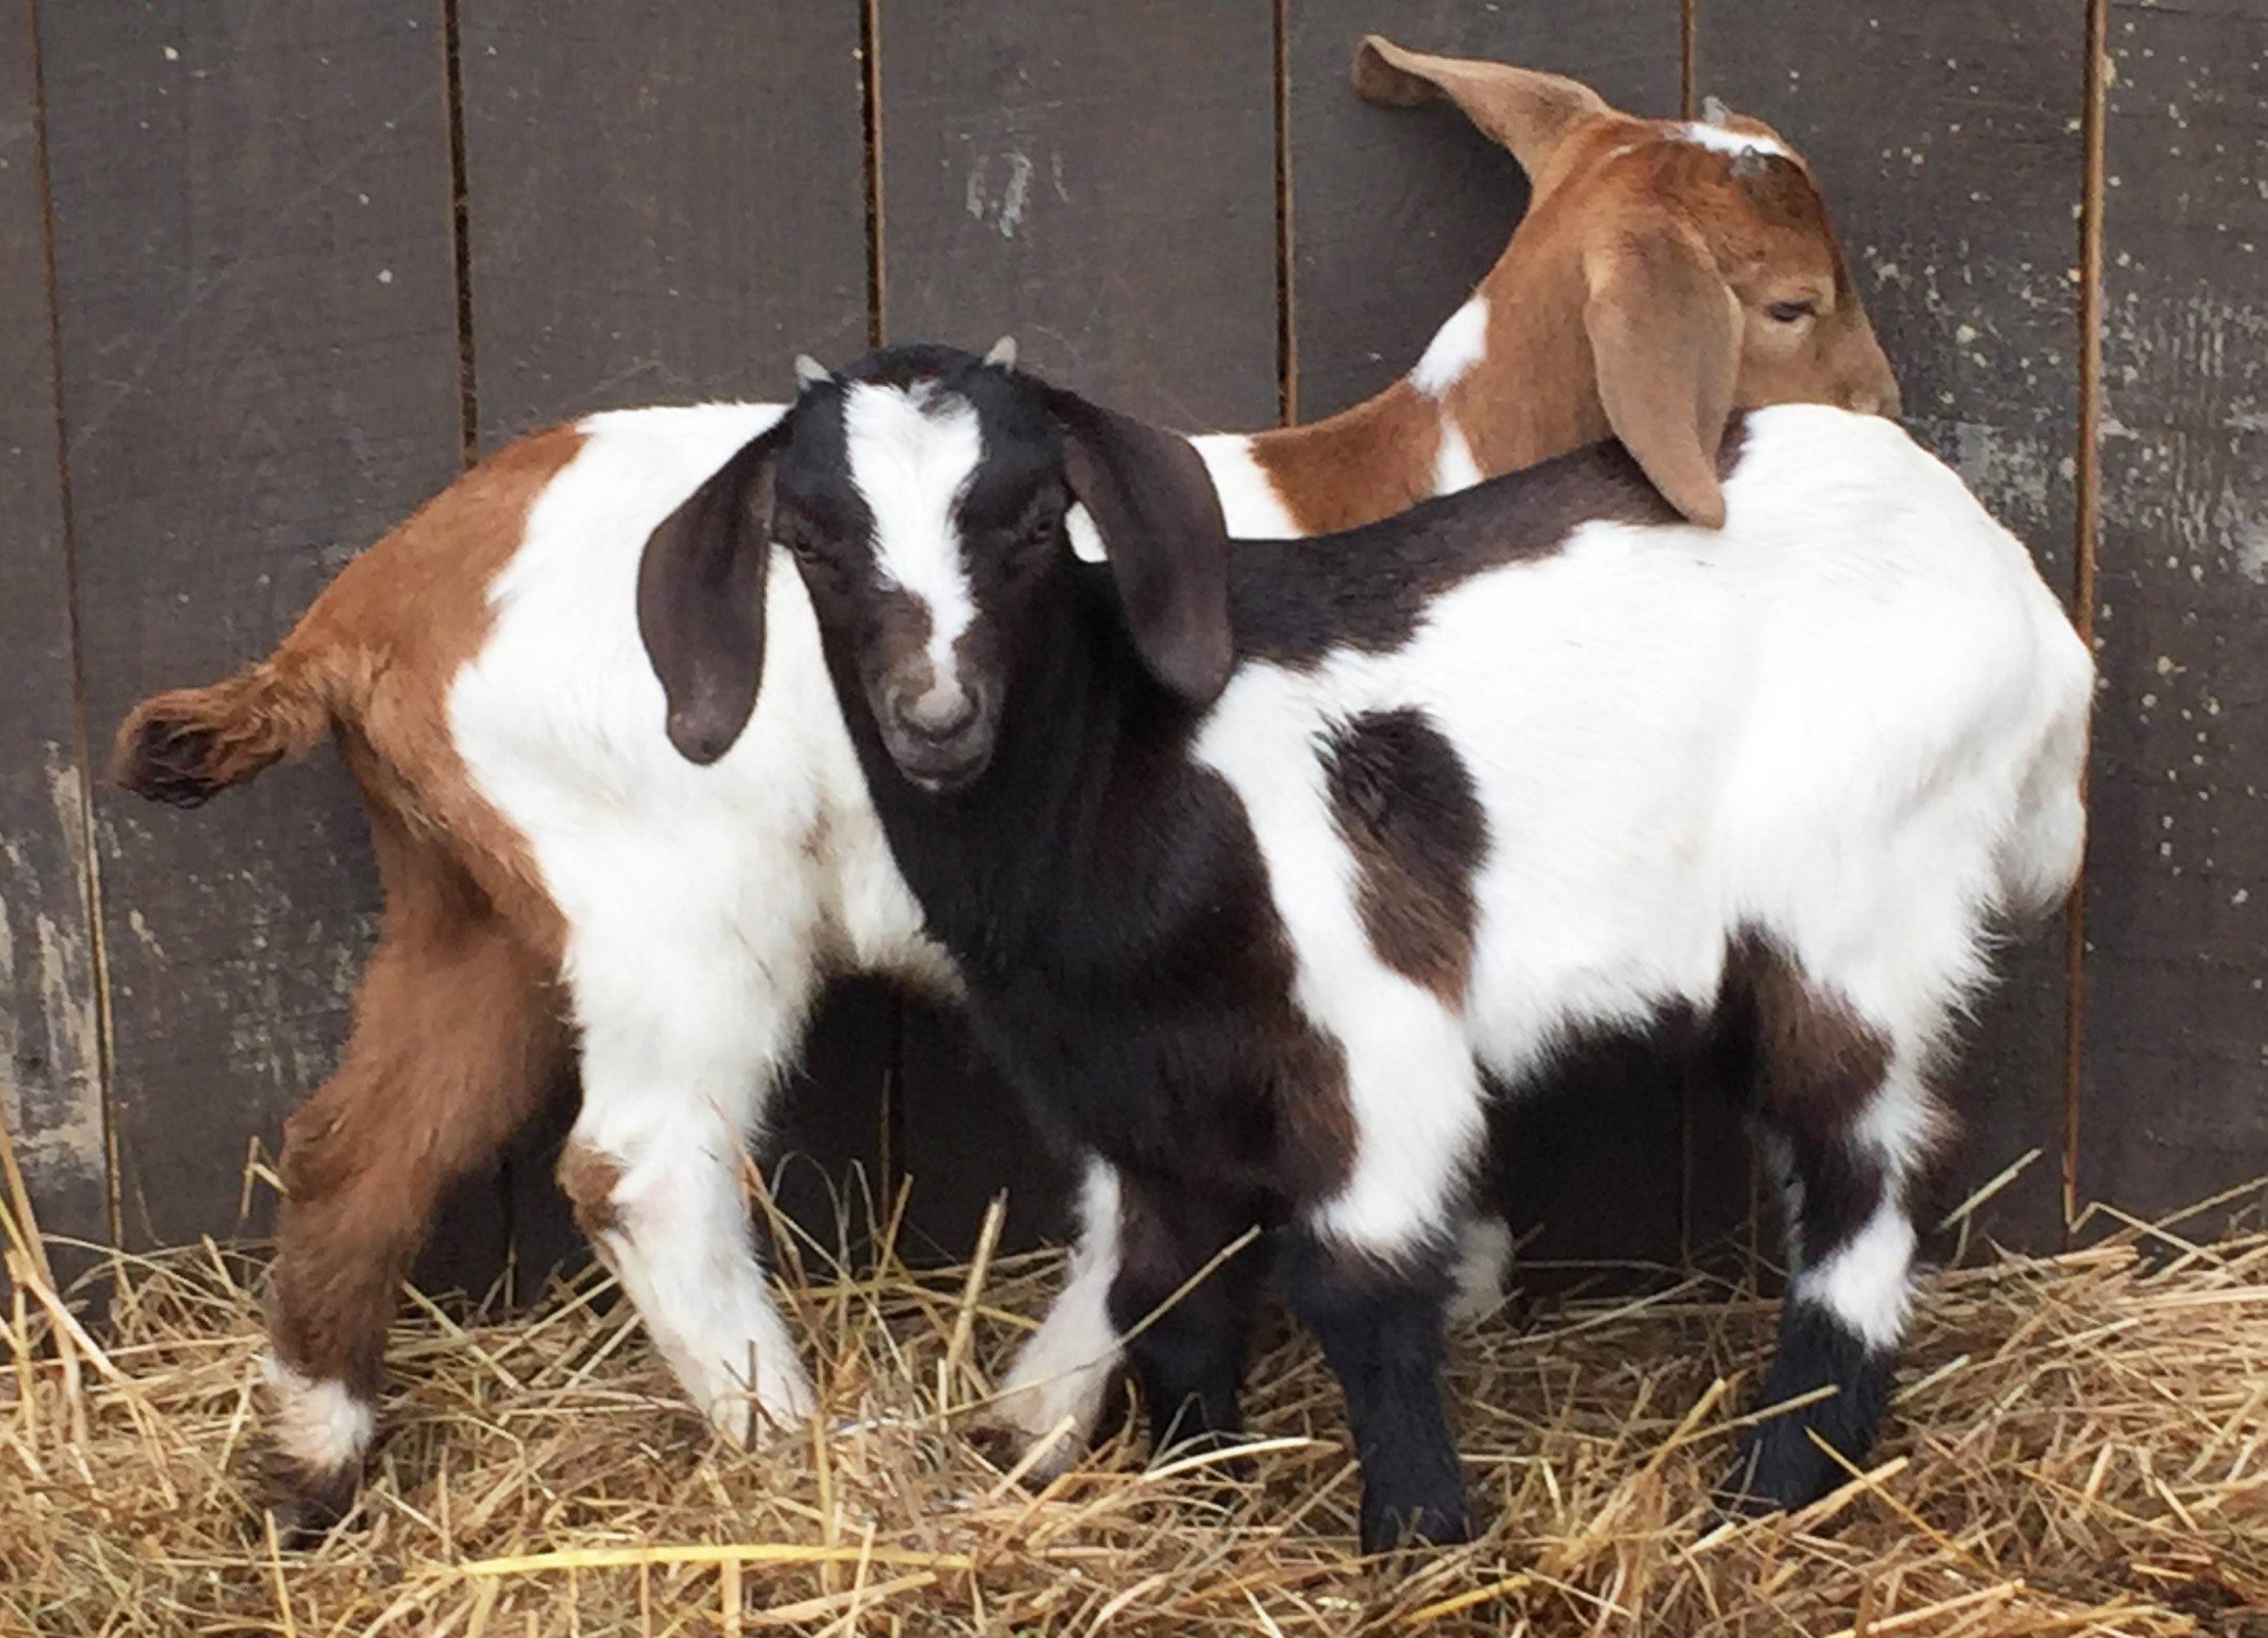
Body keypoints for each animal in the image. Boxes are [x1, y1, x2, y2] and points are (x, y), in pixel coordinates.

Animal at [111, 41, 1895, 1533]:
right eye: (1790, 306)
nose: (1889, 418)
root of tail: (362, 616)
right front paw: (1042, 1420)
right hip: (669, 893)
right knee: (637, 1159)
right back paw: (798, 1449)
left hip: (470, 889)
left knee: (360, 1141)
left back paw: (312, 1465)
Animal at [639, 340, 2086, 1542]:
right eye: (810, 540)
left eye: (1036, 520)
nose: (936, 716)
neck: (1129, 769)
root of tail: (2032, 618)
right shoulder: (1141, 1082)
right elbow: (1170, 1294)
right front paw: (1198, 1497)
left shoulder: (1373, 1030)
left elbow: (1358, 1282)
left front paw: (1418, 1532)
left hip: (1858, 904)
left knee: (1867, 1171)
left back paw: (1777, 1479)